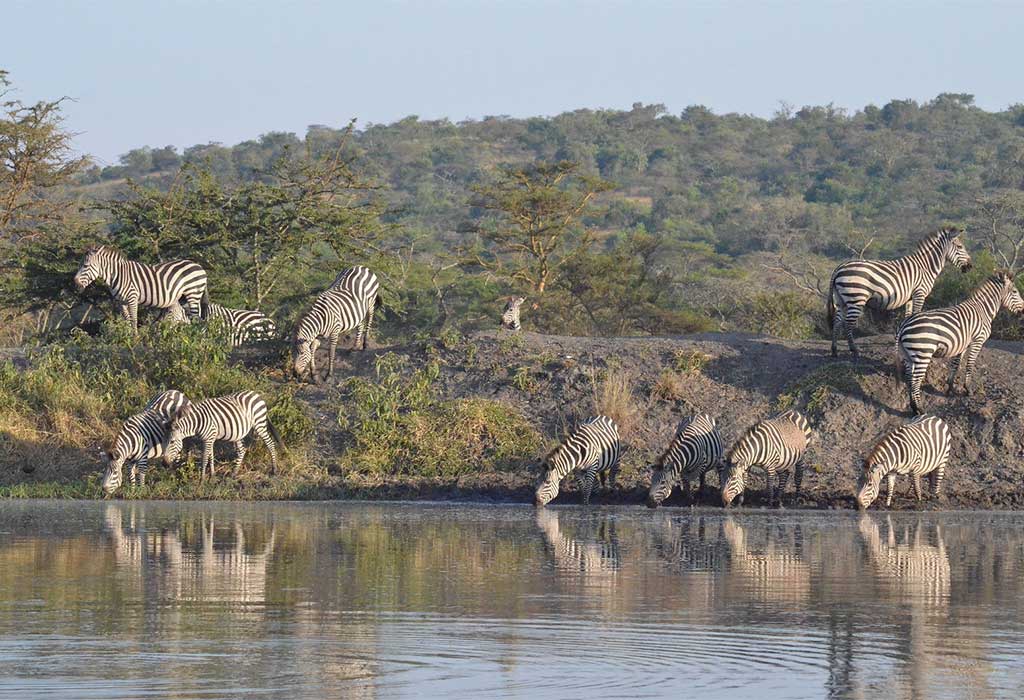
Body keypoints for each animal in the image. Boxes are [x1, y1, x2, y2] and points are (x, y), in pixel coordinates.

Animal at [73, 244, 207, 329]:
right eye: (80, 265)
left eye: (85, 266)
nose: (75, 282)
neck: (117, 275)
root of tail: (199, 266)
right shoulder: (121, 302)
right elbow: (127, 320)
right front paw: (127, 339)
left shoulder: (132, 298)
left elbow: (134, 320)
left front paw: (135, 339)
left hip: (193, 293)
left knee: (196, 317)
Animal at [827, 227, 970, 358]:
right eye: (960, 247)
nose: (970, 267)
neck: (926, 267)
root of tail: (839, 268)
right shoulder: (920, 293)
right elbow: (916, 313)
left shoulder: (910, 297)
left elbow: (908, 316)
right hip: (856, 298)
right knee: (848, 323)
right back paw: (854, 350)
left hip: (840, 299)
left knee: (837, 321)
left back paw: (834, 350)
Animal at [897, 272, 1024, 415]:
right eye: (1015, 292)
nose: (1023, 311)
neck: (983, 310)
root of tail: (904, 324)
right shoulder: (977, 341)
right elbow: (969, 365)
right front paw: (968, 389)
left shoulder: (962, 344)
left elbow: (955, 365)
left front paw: (950, 388)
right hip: (923, 353)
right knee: (915, 381)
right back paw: (919, 409)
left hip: (907, 354)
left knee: (909, 378)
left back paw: (913, 407)